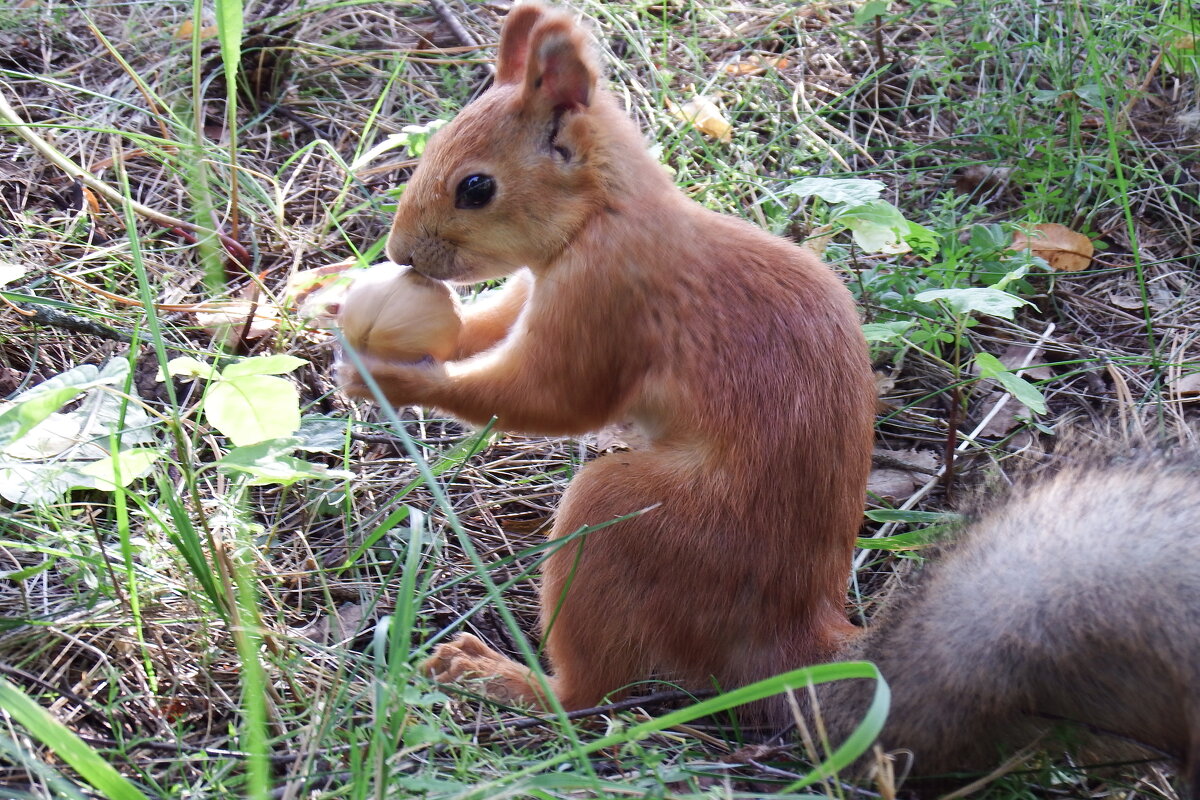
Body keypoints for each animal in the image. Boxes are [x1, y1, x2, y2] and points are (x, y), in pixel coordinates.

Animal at [343, 1, 878, 719]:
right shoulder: (534, 289)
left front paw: (388, 377)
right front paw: (328, 304)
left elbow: (555, 398)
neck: (606, 212)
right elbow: (485, 327)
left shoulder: (608, 294)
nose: (399, 253)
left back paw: (499, 677)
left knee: (588, 691)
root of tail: (794, 628)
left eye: (475, 187)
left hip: (636, 526)